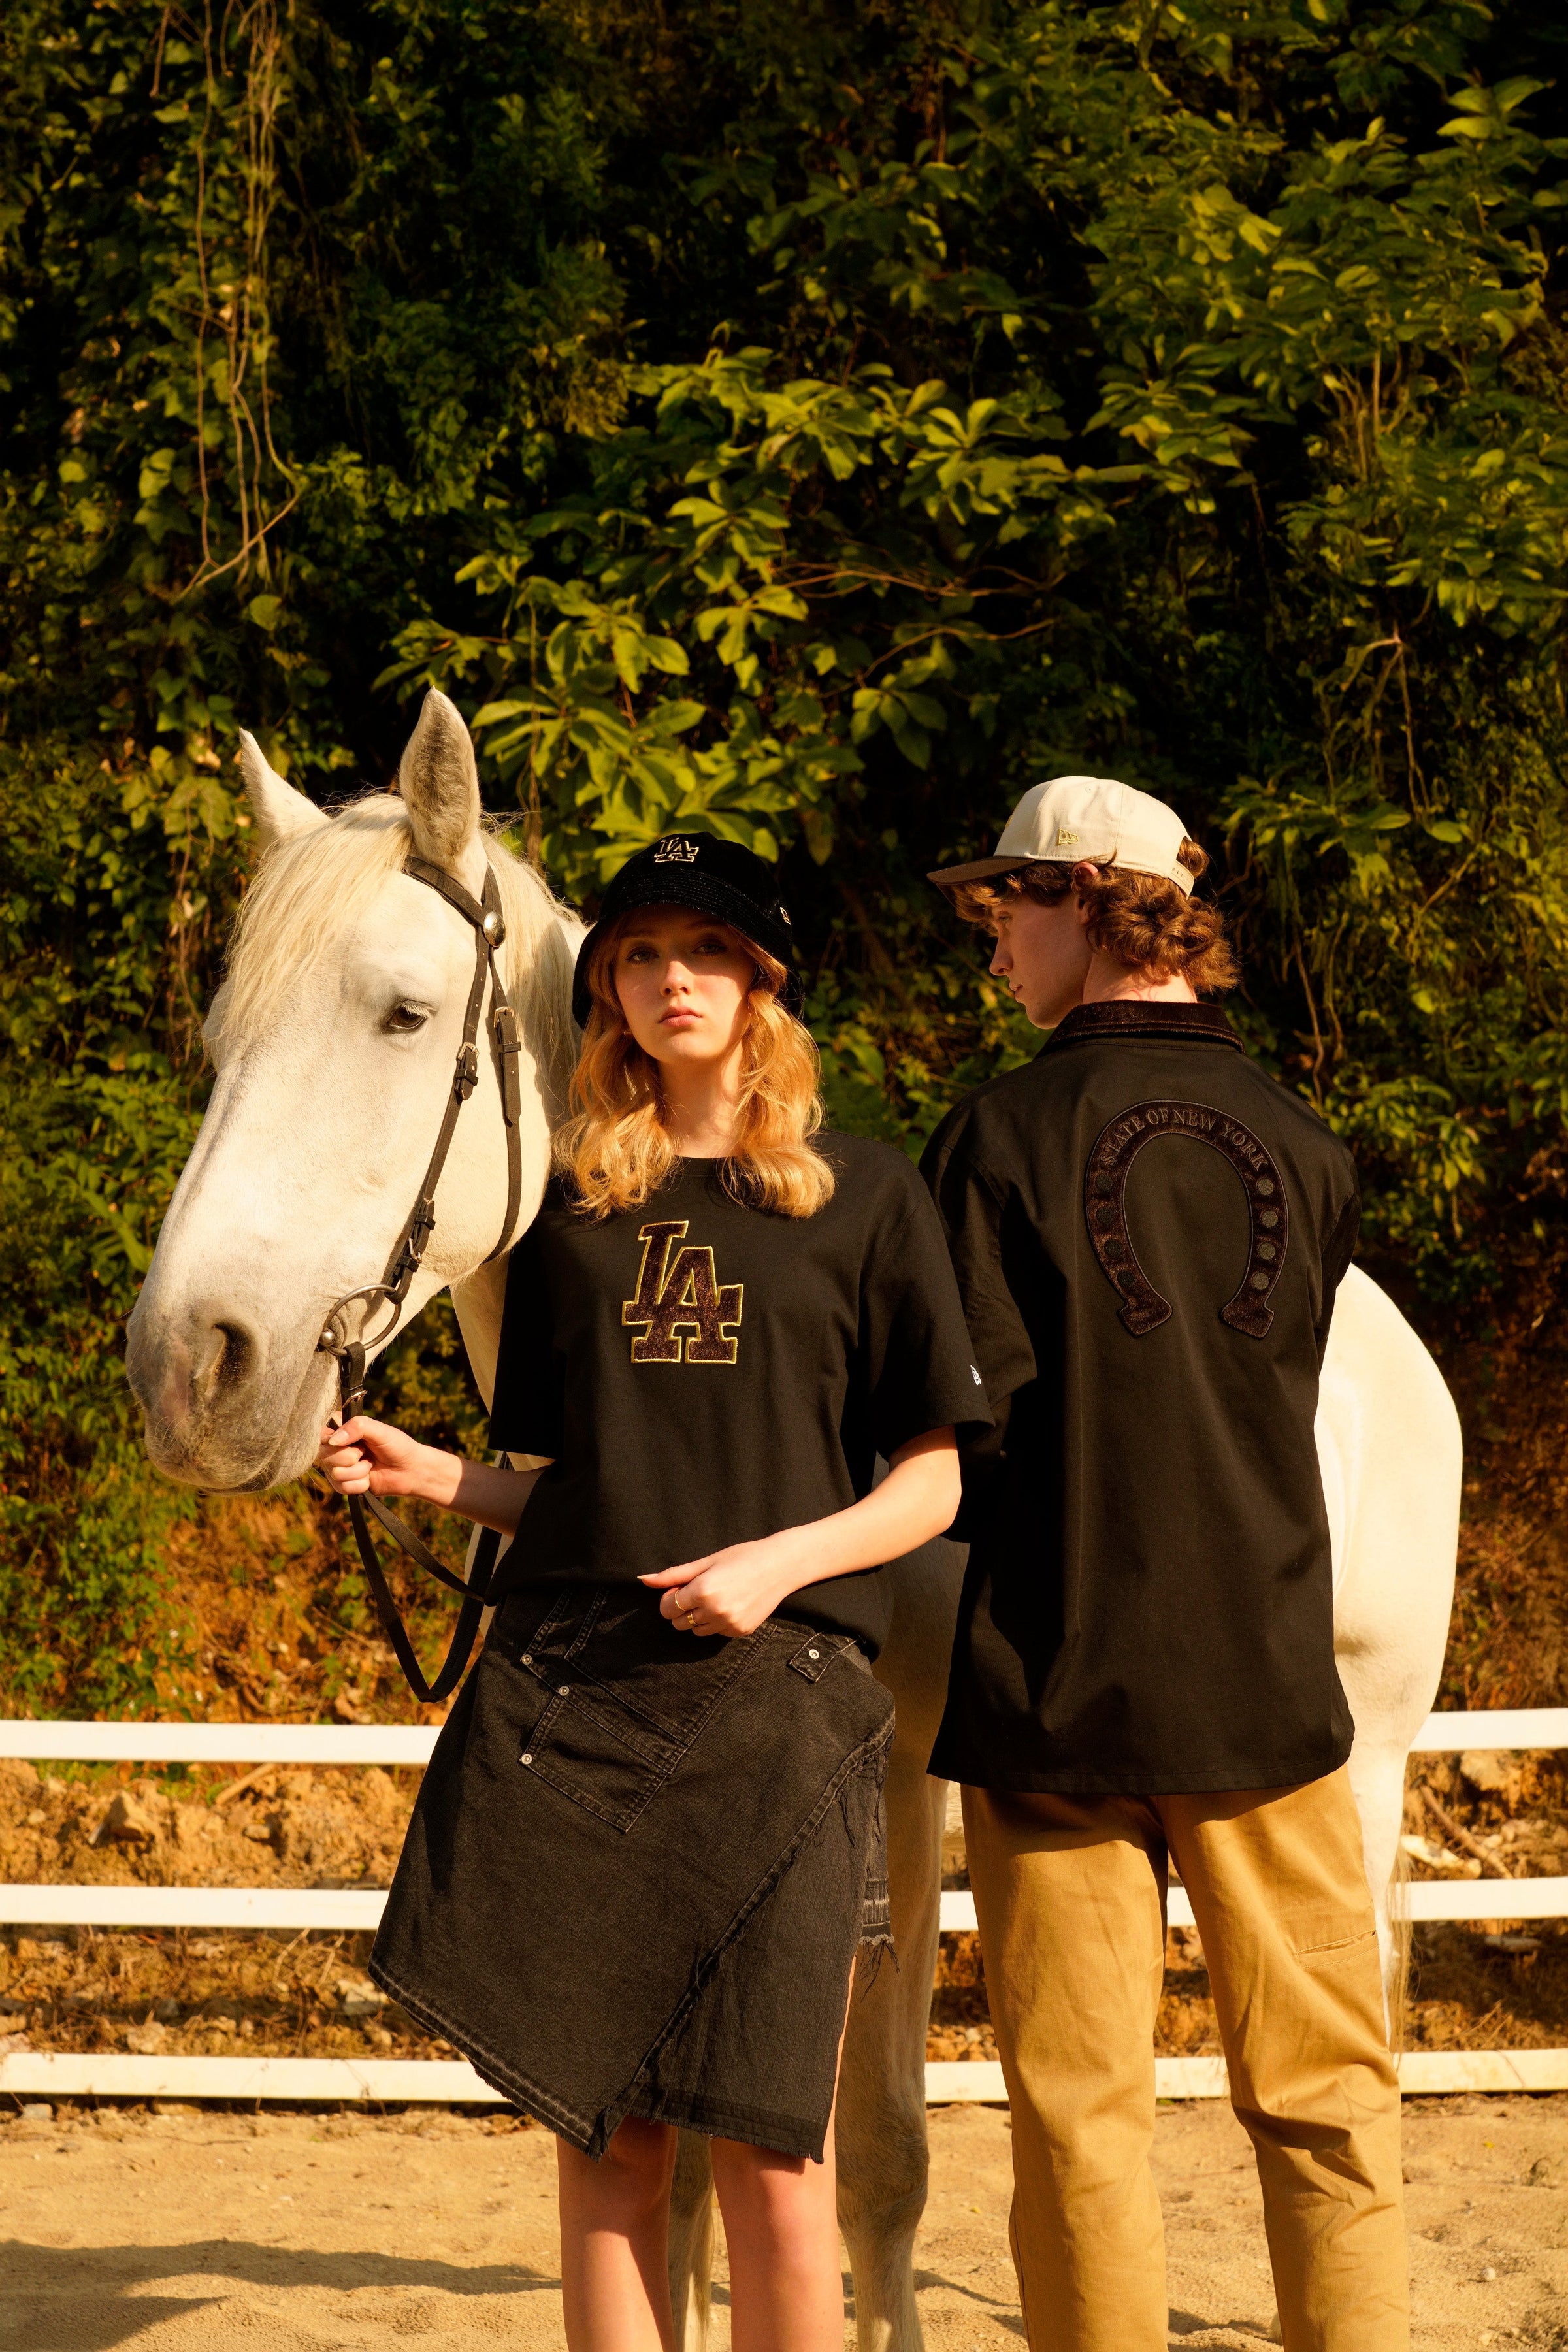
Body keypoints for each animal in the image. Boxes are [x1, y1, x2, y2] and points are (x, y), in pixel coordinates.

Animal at [125, 689, 1461, 2352]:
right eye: (220, 1038)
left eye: (404, 1014)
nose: (190, 1369)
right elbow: (689, 2175)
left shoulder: (895, 1785)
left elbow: (876, 2151)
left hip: (1353, 1770)